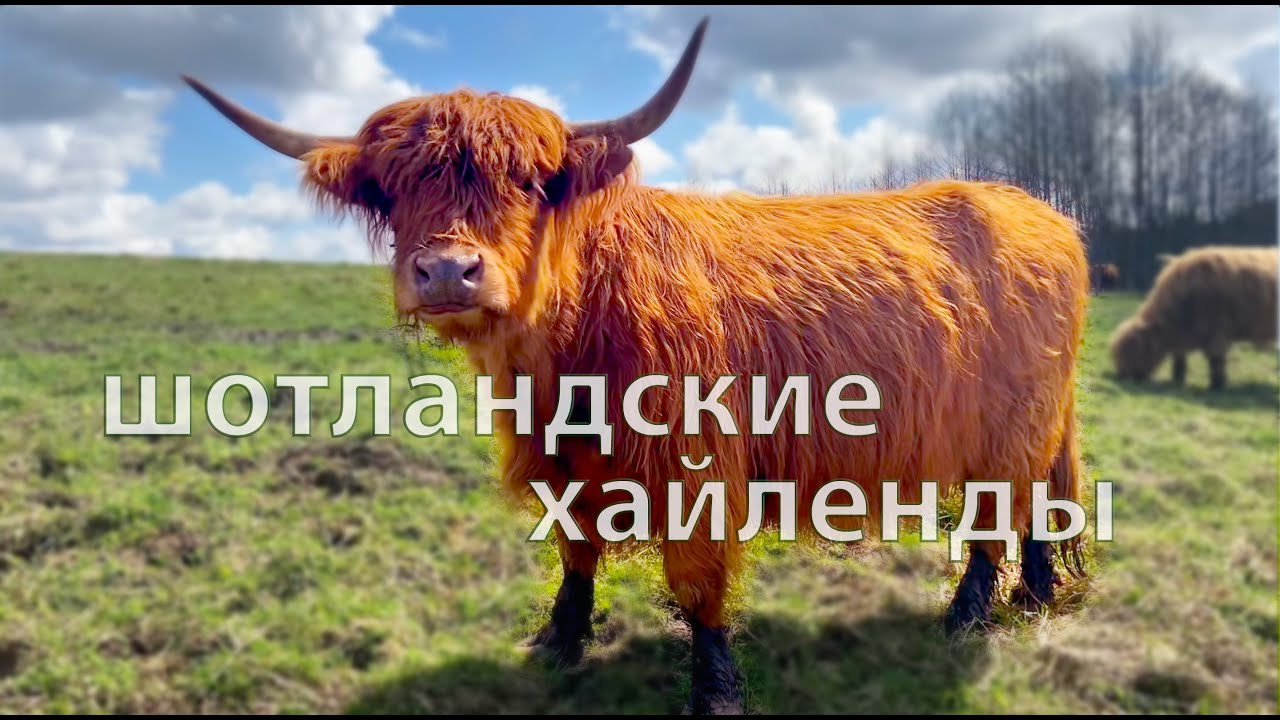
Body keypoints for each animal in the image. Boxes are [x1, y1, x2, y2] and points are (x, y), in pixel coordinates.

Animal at [184, 17, 1089, 715]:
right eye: (393, 187)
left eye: (531, 183)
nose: (447, 272)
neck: (566, 359)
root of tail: (1035, 208)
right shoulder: (564, 463)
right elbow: (575, 553)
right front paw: (558, 642)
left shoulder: (698, 467)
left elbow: (698, 585)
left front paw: (715, 691)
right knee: (1038, 498)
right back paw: (1036, 592)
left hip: (1007, 424)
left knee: (997, 514)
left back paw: (968, 617)